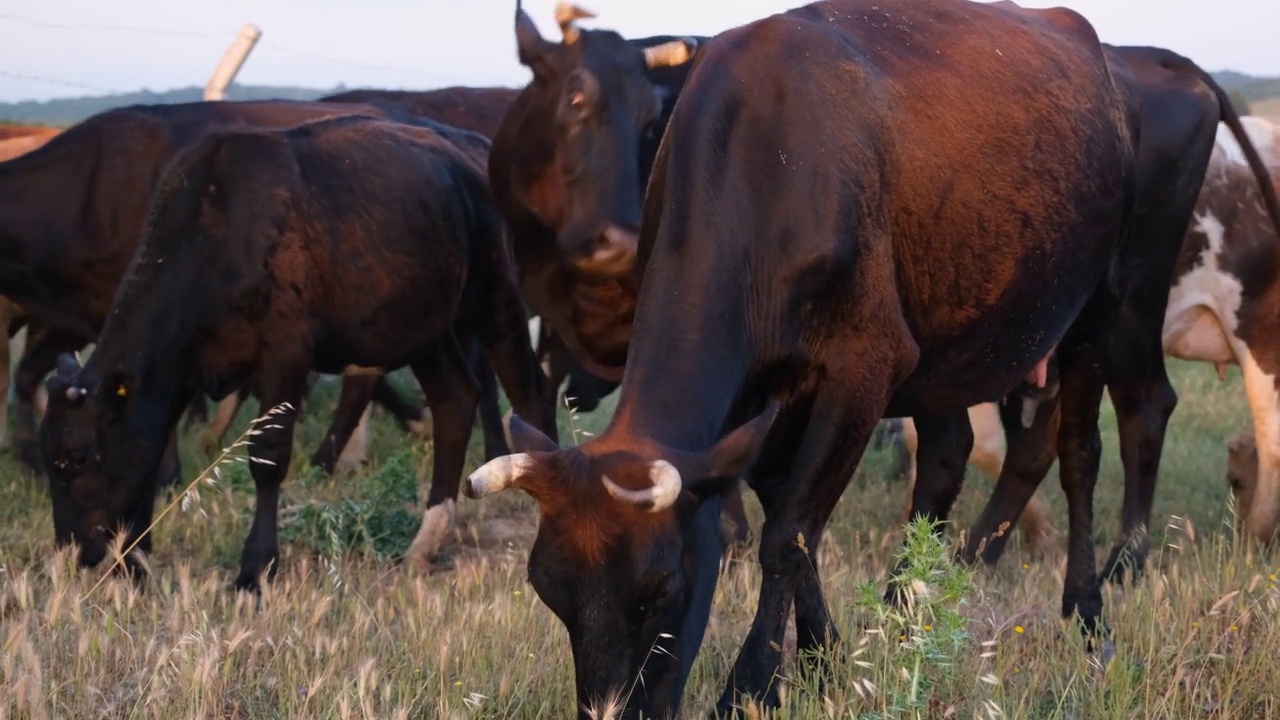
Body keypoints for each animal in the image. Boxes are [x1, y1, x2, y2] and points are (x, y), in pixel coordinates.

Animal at [35, 112, 552, 584]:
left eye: (78, 458)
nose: (76, 550)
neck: (216, 226)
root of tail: (471, 144)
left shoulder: (286, 350)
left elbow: (267, 457)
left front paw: (255, 568)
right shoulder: (180, 371)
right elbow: (153, 448)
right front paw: (137, 559)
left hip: (496, 297)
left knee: (530, 391)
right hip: (424, 324)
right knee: (454, 401)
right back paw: (424, 543)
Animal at [465, 0, 1157, 712]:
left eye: (661, 588)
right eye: (549, 590)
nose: (612, 711)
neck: (769, 165)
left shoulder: (864, 367)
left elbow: (786, 535)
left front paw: (752, 688)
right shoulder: (763, 398)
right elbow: (786, 513)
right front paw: (826, 660)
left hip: (1100, 309)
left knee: (1079, 455)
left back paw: (1089, 620)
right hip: (942, 344)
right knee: (946, 456)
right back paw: (900, 623)